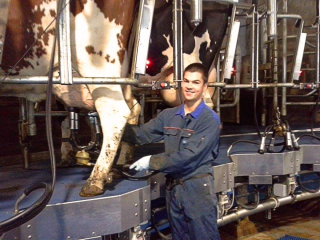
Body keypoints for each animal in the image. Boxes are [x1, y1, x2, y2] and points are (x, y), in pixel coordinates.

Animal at [0, 0, 230, 197]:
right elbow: (66, 120)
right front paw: (66, 157)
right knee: (133, 108)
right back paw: (120, 161)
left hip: (101, 64)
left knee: (117, 112)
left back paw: (96, 180)